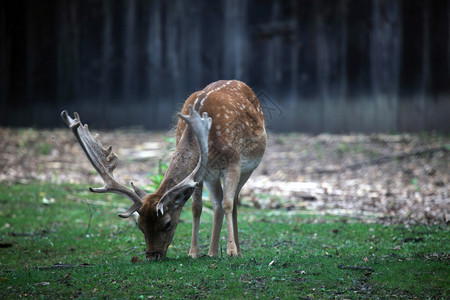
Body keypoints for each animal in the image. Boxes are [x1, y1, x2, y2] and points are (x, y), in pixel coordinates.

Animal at [61, 79, 266, 260]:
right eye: (140, 225)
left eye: (167, 224)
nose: (152, 256)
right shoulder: (201, 173)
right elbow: (196, 207)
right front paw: (193, 252)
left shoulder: (233, 163)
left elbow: (228, 203)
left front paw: (231, 252)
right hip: (212, 177)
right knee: (216, 203)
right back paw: (212, 252)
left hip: (247, 168)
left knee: (233, 201)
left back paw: (237, 251)